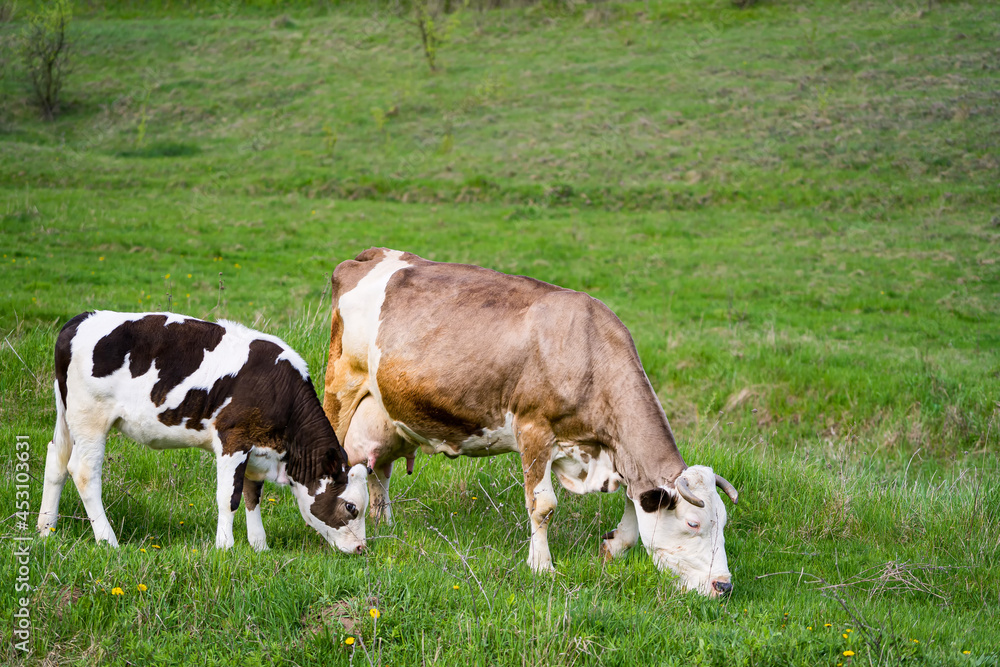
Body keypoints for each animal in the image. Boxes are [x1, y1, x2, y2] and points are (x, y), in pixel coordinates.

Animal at [38, 312, 372, 552]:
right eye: (351, 507)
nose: (361, 549)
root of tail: (79, 320)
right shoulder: (233, 439)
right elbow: (229, 497)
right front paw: (225, 547)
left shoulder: (255, 448)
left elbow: (252, 495)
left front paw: (260, 547)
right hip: (90, 419)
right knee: (83, 472)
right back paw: (108, 541)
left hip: (66, 414)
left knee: (56, 461)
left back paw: (45, 531)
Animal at [324, 248, 740, 596]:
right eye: (694, 523)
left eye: (723, 521)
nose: (724, 586)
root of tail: (370, 255)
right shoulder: (533, 428)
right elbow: (543, 505)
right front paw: (541, 566)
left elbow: (632, 501)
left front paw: (614, 545)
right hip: (341, 383)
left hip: (385, 411)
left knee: (378, 470)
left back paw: (383, 522)